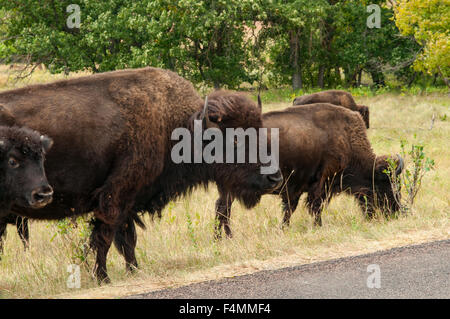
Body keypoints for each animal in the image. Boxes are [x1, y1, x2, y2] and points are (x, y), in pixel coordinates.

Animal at [214, 104, 404, 239]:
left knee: (222, 209)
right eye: (386, 183)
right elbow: (315, 206)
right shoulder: (322, 181)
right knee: (223, 210)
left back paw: (220, 238)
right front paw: (317, 226)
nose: (397, 211)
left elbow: (290, 209)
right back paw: (227, 238)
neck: (346, 138)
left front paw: (284, 229)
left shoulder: (296, 187)